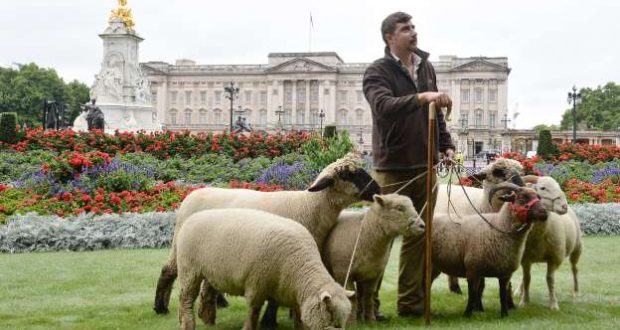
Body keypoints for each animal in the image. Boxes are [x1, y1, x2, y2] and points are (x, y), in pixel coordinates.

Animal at [178, 209, 354, 330]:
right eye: (330, 312)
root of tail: (192, 217)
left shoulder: (293, 294)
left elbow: (298, 316)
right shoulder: (256, 285)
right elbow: (253, 312)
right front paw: (248, 328)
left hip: (211, 272)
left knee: (202, 294)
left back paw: (203, 320)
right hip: (189, 269)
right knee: (186, 298)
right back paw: (188, 324)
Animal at [320, 195, 426, 324]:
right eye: (399, 208)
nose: (422, 226)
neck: (364, 233)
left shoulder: (372, 274)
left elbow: (368, 296)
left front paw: (370, 320)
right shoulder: (344, 273)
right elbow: (352, 297)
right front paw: (351, 322)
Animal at [428, 183, 548, 318]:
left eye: (538, 197)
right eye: (522, 197)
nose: (544, 212)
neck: (498, 226)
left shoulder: (505, 274)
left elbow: (502, 294)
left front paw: (504, 315)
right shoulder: (473, 270)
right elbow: (472, 293)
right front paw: (467, 314)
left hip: (435, 266)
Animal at [512, 175, 580, 310]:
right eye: (543, 188)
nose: (564, 206)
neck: (538, 236)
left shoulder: (554, 257)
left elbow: (550, 279)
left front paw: (553, 304)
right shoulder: (525, 259)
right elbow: (527, 278)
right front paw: (524, 301)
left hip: (577, 248)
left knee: (574, 269)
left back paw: (575, 292)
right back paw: (519, 291)